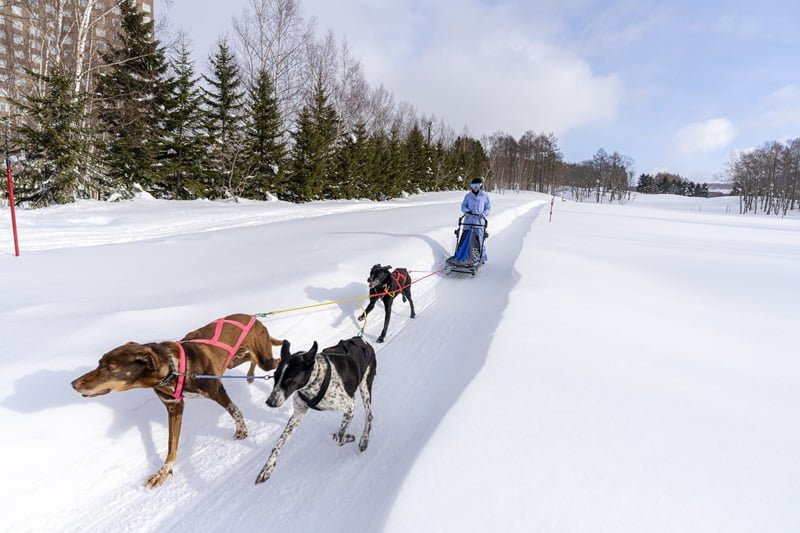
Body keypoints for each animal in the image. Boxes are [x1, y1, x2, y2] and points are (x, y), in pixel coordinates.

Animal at [70, 314, 282, 488]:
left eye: (110, 367)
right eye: (99, 363)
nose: (73, 384)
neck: (174, 369)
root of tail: (254, 318)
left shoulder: (216, 390)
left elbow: (234, 410)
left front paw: (242, 429)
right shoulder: (174, 407)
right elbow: (172, 445)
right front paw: (162, 472)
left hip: (264, 360)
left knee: (275, 361)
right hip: (234, 360)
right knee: (252, 358)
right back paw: (251, 375)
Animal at [258, 338, 380, 484]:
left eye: (289, 380)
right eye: (275, 376)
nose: (270, 402)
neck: (317, 379)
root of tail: (361, 340)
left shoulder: (350, 406)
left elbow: (339, 437)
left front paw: (348, 437)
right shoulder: (298, 415)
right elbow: (278, 445)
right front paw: (267, 468)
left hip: (365, 387)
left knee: (369, 416)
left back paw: (364, 440)